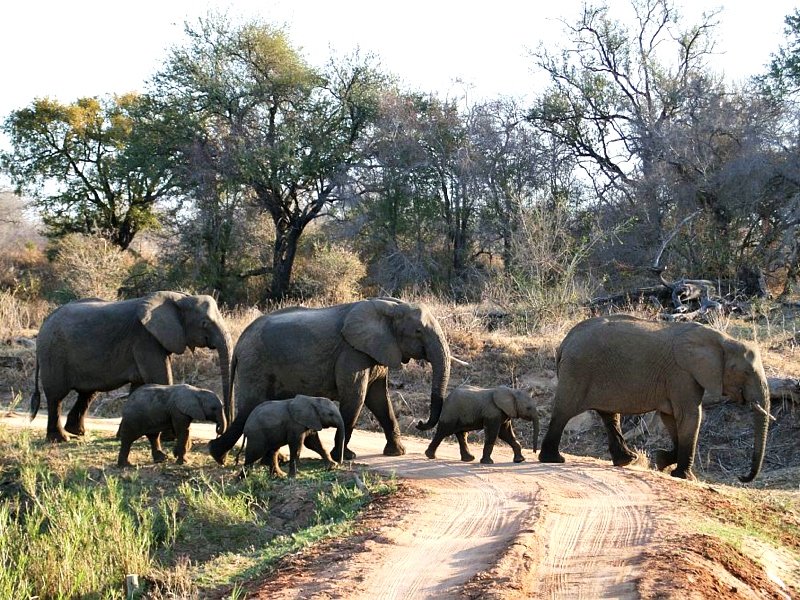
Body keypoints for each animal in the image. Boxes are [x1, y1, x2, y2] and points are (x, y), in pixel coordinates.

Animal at [31, 292, 231, 442]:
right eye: (204, 323)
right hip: (53, 353)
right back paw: (60, 439)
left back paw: (78, 433)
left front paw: (123, 436)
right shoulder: (145, 338)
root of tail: (44, 322)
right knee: (56, 395)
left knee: (87, 393)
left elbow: (139, 387)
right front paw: (170, 438)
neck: (179, 298)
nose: (218, 432)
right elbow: (160, 378)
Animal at [209, 296, 454, 464]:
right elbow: (356, 397)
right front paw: (345, 457)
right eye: (418, 331)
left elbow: (378, 399)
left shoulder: (375, 351)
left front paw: (396, 453)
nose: (420, 423)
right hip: (255, 364)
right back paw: (217, 455)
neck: (390, 306)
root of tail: (240, 342)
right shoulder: (352, 353)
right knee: (250, 407)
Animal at [540, 314, 772, 482]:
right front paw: (685, 477)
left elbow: (670, 417)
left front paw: (661, 460)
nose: (742, 477)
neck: (722, 339)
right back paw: (554, 459)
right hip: (578, 370)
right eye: (746, 372)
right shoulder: (682, 373)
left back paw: (627, 460)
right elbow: (689, 416)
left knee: (609, 415)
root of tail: (565, 342)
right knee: (564, 411)